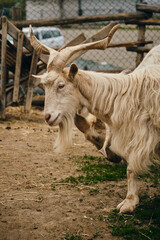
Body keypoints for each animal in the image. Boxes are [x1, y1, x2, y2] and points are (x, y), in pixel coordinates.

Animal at [29, 24, 159, 214]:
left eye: (61, 85)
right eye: (44, 86)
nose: (48, 117)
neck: (130, 94)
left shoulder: (143, 134)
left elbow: (131, 167)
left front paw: (128, 204)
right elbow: (131, 167)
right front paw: (129, 202)